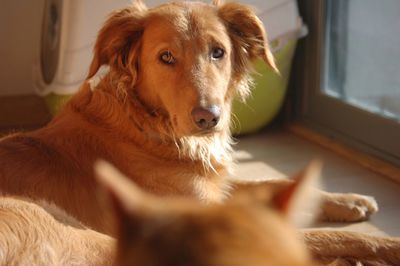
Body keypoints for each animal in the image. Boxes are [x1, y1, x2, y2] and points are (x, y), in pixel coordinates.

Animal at [0, 0, 390, 262]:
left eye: (218, 52)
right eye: (166, 57)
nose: (208, 118)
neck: (146, 126)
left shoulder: (214, 190)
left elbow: (269, 181)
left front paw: (349, 200)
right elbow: (327, 237)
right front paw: (389, 246)